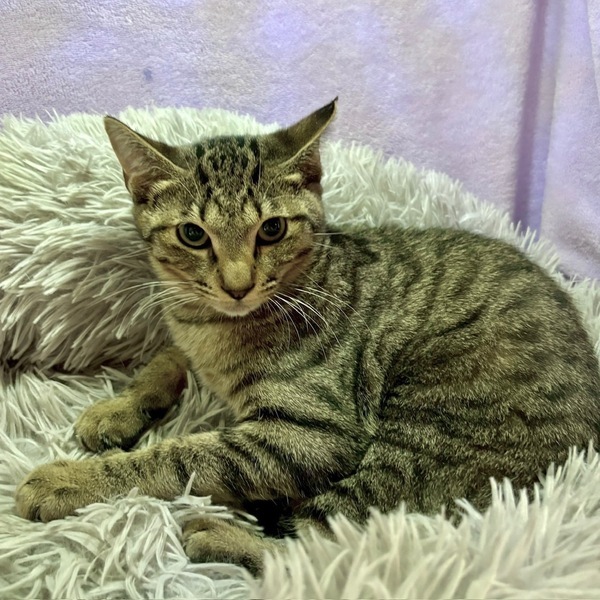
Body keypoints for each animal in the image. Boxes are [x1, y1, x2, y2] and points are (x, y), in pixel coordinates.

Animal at [16, 100, 600, 575]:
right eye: (193, 234)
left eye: (272, 229)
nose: (237, 285)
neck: (218, 327)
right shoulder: (189, 329)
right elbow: (167, 356)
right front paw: (117, 408)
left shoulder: (315, 432)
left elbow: (180, 458)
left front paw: (71, 481)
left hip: (425, 431)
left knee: (333, 543)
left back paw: (221, 533)